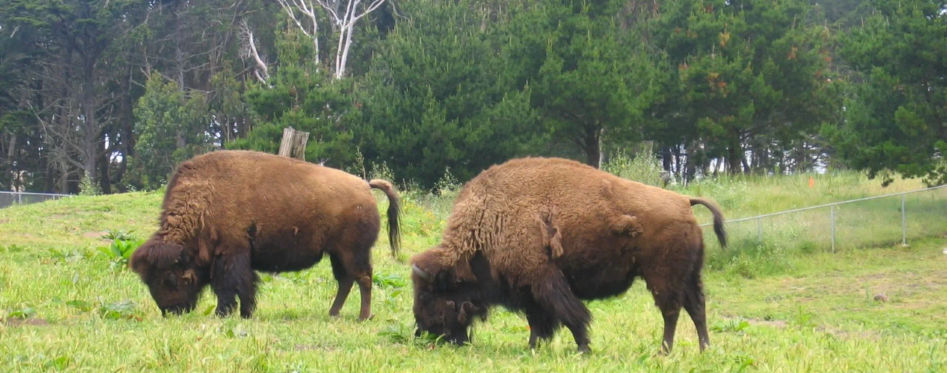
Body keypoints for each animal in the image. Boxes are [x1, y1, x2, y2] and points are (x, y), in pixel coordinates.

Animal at [129, 149, 400, 320]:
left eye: (170, 278)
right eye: (147, 281)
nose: (170, 311)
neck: (204, 201)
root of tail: (365, 185)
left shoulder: (230, 255)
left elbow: (230, 287)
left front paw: (224, 314)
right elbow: (246, 286)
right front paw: (245, 313)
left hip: (353, 252)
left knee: (363, 279)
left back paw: (362, 317)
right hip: (337, 254)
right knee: (346, 281)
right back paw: (333, 313)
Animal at [412, 156, 728, 352]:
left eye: (428, 294)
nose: (422, 330)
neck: (489, 222)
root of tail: (684, 201)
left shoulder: (544, 281)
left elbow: (570, 315)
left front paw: (583, 348)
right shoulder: (529, 290)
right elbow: (538, 321)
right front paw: (533, 347)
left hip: (662, 277)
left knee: (672, 311)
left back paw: (664, 351)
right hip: (690, 275)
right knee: (696, 308)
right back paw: (704, 349)